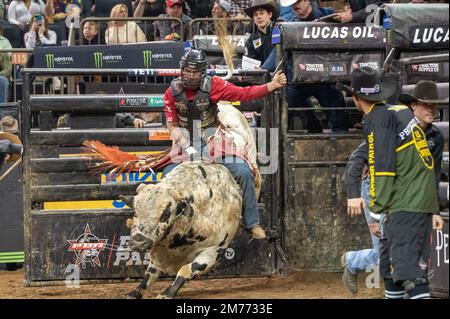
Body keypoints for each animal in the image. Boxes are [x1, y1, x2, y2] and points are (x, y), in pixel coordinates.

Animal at [122, 162, 243, 300]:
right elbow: (150, 273)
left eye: (165, 214)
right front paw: (134, 292)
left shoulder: (213, 253)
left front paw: (166, 294)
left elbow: (186, 270)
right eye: (135, 212)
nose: (138, 242)